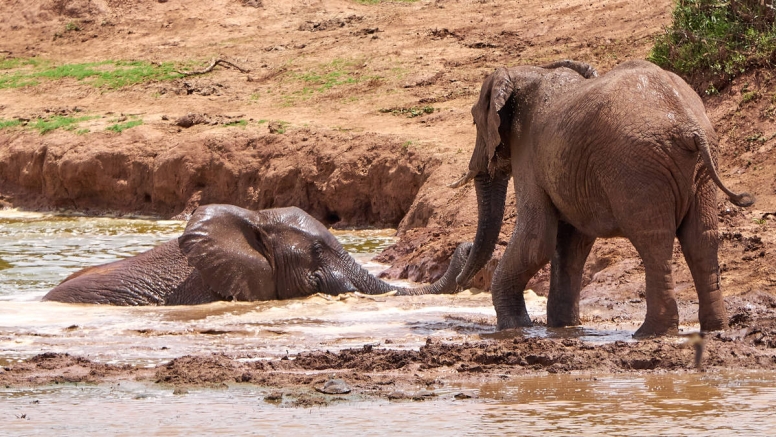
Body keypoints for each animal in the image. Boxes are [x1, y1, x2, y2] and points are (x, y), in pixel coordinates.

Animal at [448, 58, 752, 338]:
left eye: (474, 121)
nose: (461, 276)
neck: (526, 71)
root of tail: (688, 122)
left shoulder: (529, 154)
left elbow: (536, 240)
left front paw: (514, 328)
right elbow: (571, 244)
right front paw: (562, 327)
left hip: (637, 166)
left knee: (654, 240)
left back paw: (650, 333)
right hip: (701, 168)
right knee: (701, 237)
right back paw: (714, 328)